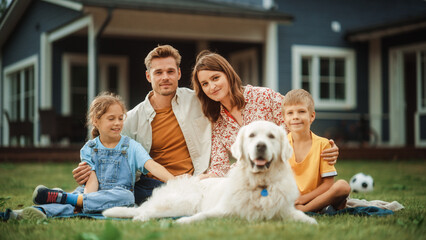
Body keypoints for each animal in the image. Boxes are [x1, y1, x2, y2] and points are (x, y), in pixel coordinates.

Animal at [103, 121, 316, 224]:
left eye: (271, 136)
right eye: (252, 135)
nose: (260, 146)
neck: (260, 184)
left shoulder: (284, 210)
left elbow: (306, 219)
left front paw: (311, 222)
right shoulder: (222, 209)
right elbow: (202, 216)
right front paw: (184, 223)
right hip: (182, 202)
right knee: (146, 211)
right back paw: (141, 218)